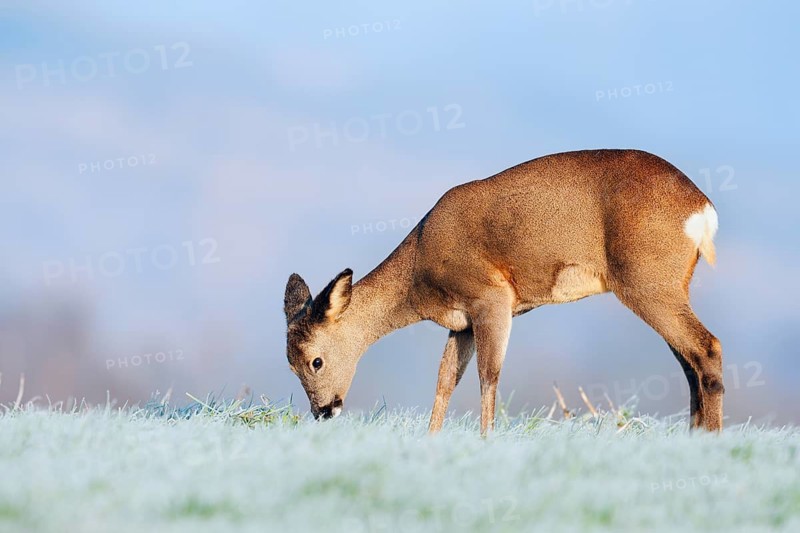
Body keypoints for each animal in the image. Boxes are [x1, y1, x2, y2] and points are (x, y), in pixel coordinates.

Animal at [284, 149, 723, 435]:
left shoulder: (491, 297)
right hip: (669, 285)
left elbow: (489, 374)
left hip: (648, 280)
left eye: (315, 361)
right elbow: (445, 380)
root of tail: (702, 208)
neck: (419, 267)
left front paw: (486, 440)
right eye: (289, 364)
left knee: (707, 347)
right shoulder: (460, 322)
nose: (323, 411)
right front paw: (431, 441)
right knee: (689, 361)